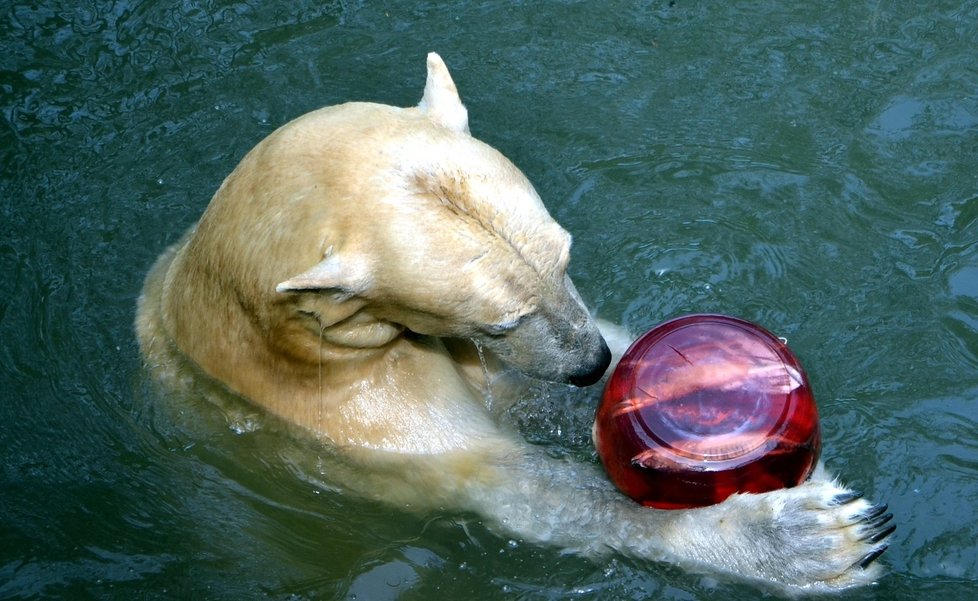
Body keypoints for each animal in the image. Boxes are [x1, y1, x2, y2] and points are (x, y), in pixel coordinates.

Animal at [137, 51, 892, 592]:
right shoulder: (354, 413)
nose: (592, 361)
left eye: (566, 254)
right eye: (500, 320)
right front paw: (805, 540)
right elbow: (513, 481)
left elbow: (532, 393)